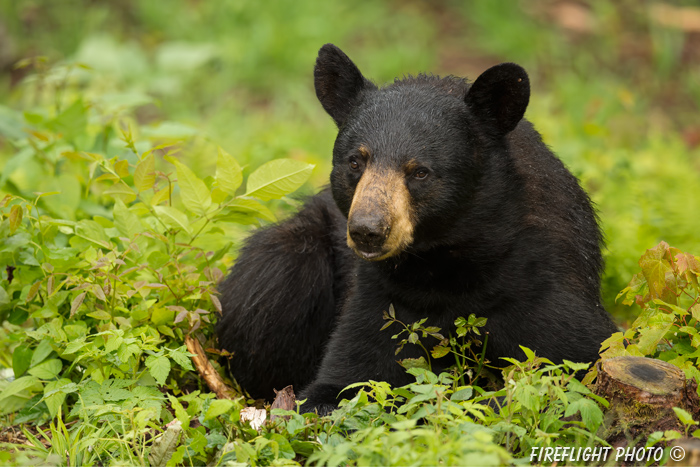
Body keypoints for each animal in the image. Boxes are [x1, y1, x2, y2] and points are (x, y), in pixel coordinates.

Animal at [216, 44, 616, 414]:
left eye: (420, 171)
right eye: (356, 162)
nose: (368, 230)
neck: (443, 261)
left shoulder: (540, 274)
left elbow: (571, 357)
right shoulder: (381, 293)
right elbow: (345, 378)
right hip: (291, 253)